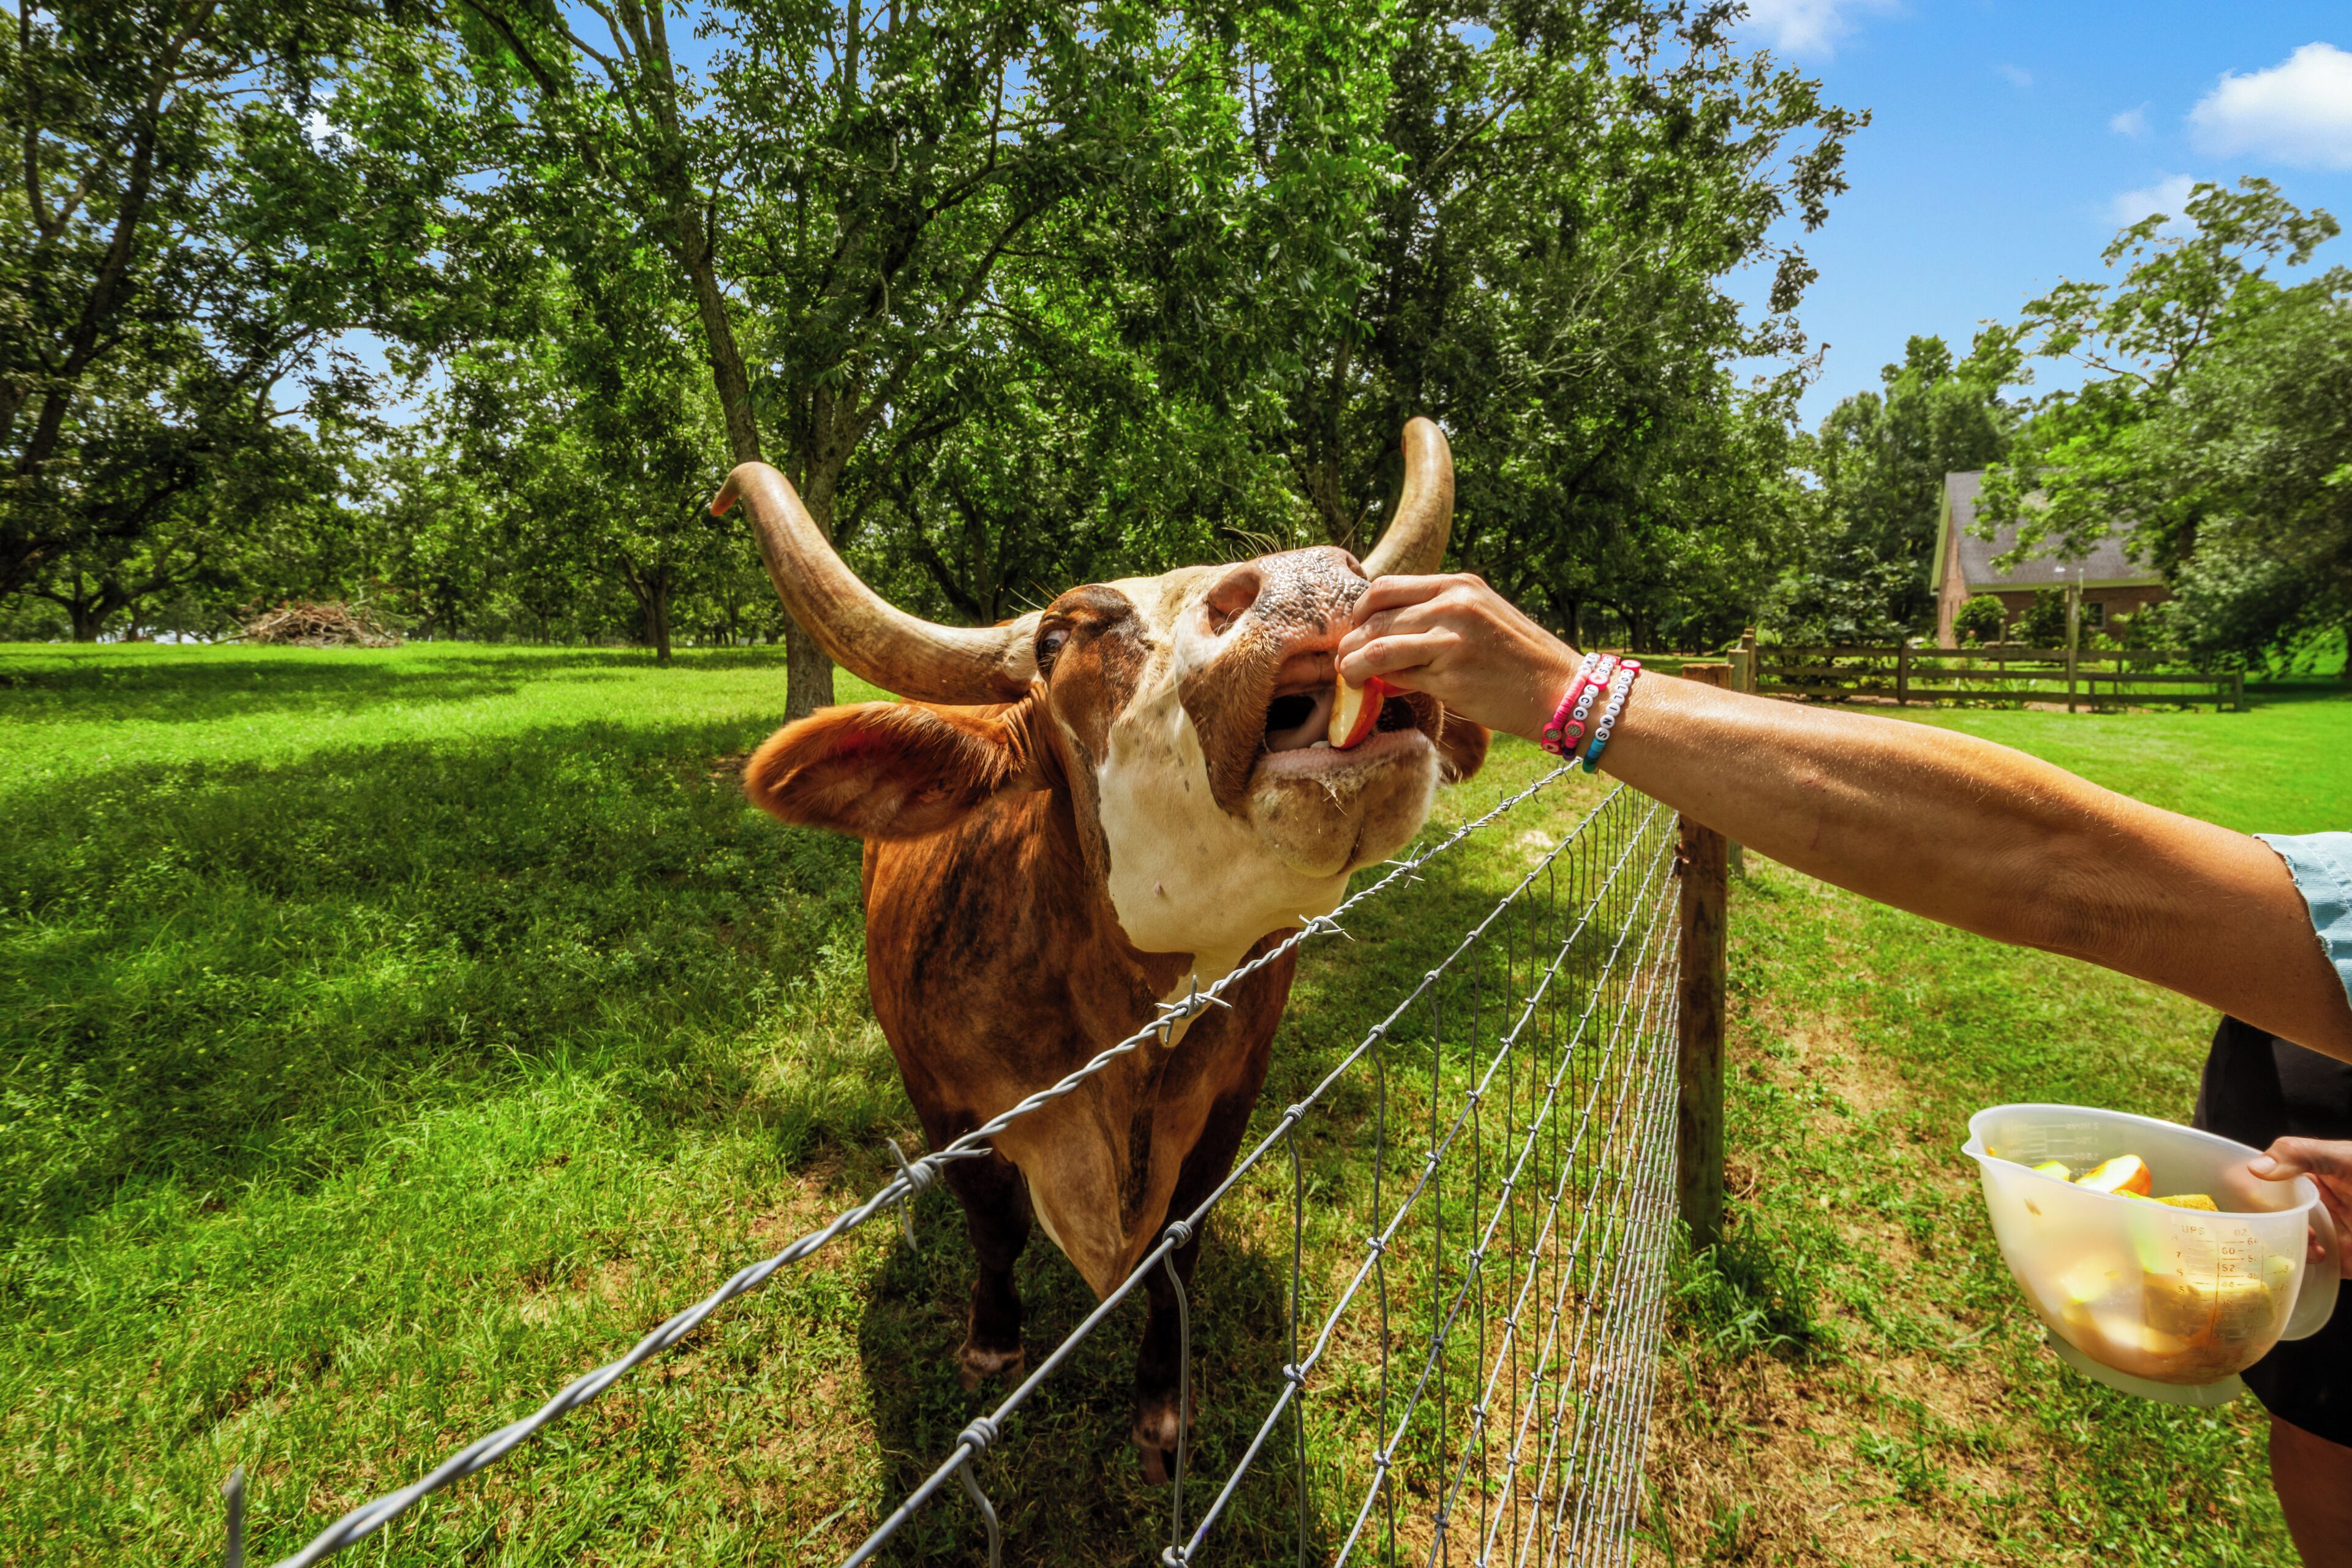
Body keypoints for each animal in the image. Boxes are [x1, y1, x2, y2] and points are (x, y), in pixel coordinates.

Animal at [713, 420, 1487, 1480]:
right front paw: (991, 1344)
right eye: (1058, 637)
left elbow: (1178, 1248)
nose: (1310, 578)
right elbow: (993, 1223)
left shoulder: (1230, 1096)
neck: (1126, 1045)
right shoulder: (943, 1099)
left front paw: (1163, 1409)